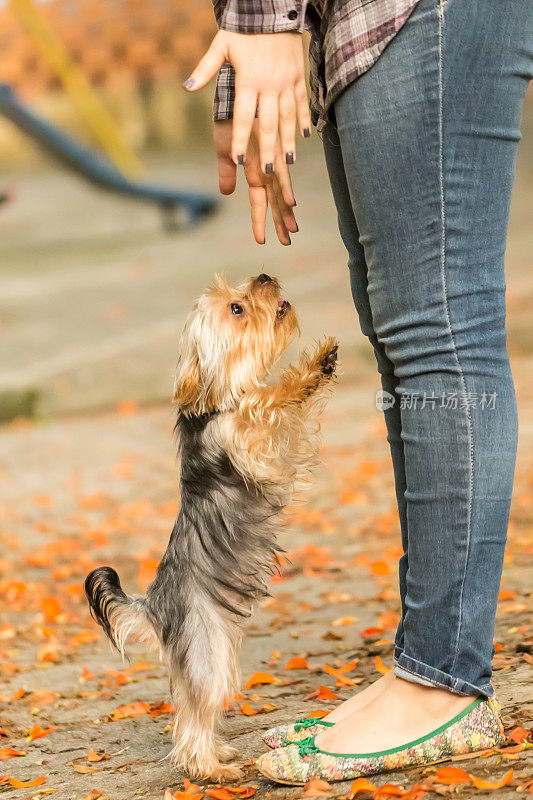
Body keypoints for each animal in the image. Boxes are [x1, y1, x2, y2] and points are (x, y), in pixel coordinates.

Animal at [85, 276, 338, 780]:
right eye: (237, 309)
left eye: (243, 289)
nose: (265, 277)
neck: (213, 402)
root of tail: (154, 607)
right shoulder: (251, 446)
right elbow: (263, 401)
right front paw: (302, 375)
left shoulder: (282, 444)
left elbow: (280, 406)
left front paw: (319, 364)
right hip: (209, 651)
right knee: (196, 714)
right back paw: (209, 769)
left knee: (187, 706)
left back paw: (218, 754)